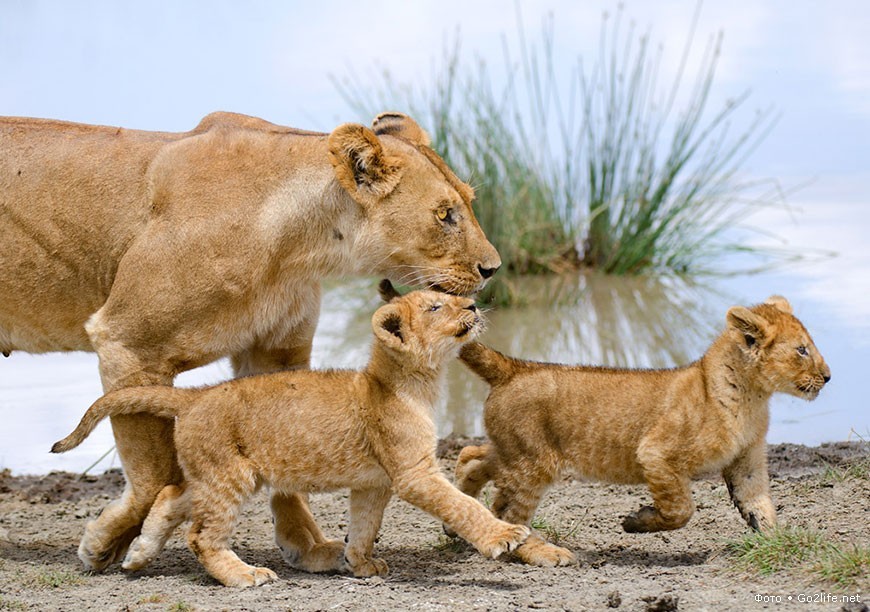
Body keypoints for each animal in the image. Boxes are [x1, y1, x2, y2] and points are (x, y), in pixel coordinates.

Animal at [0, 107, 504, 572]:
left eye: (469, 202)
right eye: (445, 215)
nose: (493, 268)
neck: (298, 246)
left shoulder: (276, 349)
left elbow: (284, 455)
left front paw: (306, 546)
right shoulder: (129, 341)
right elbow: (153, 470)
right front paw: (106, 544)